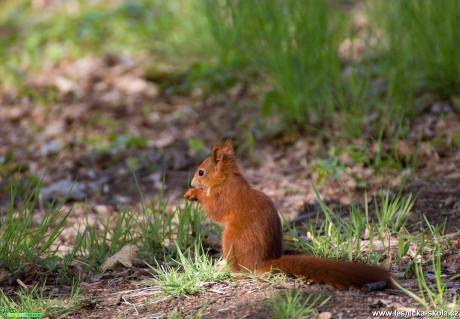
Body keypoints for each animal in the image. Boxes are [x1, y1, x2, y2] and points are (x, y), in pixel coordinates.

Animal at [185, 141, 394, 292]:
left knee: (243, 270)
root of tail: (264, 261)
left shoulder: (224, 196)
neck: (226, 179)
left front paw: (193, 194)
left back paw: (229, 270)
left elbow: (215, 211)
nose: (192, 182)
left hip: (231, 238)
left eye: (201, 172)